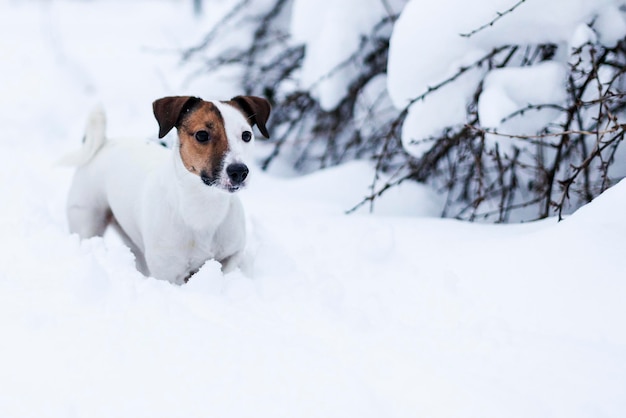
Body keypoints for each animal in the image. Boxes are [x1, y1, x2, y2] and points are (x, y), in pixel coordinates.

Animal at [63, 95, 270, 284]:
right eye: (202, 135)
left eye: (246, 135)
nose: (239, 171)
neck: (203, 207)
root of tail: (104, 143)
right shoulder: (168, 272)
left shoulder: (230, 254)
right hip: (87, 221)